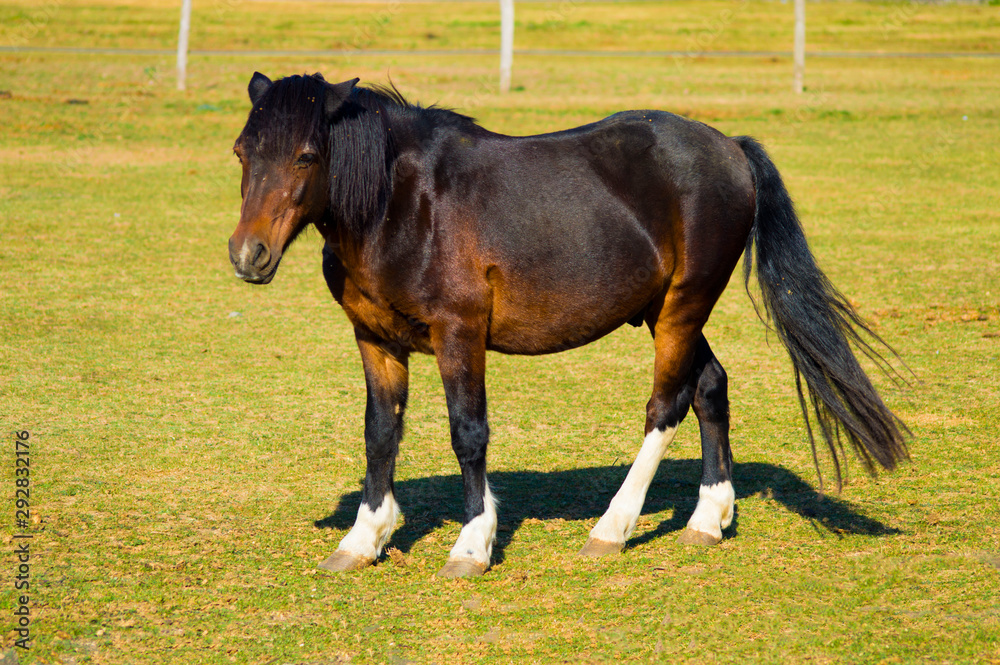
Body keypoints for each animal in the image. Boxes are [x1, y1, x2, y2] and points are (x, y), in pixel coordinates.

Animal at [228, 72, 909, 578]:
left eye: (306, 155)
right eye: (241, 152)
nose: (248, 254)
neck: (405, 202)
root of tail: (731, 148)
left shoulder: (459, 334)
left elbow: (467, 434)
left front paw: (472, 544)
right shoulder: (374, 340)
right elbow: (379, 433)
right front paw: (363, 537)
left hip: (683, 307)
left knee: (668, 404)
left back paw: (613, 528)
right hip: (664, 310)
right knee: (711, 386)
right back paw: (707, 519)